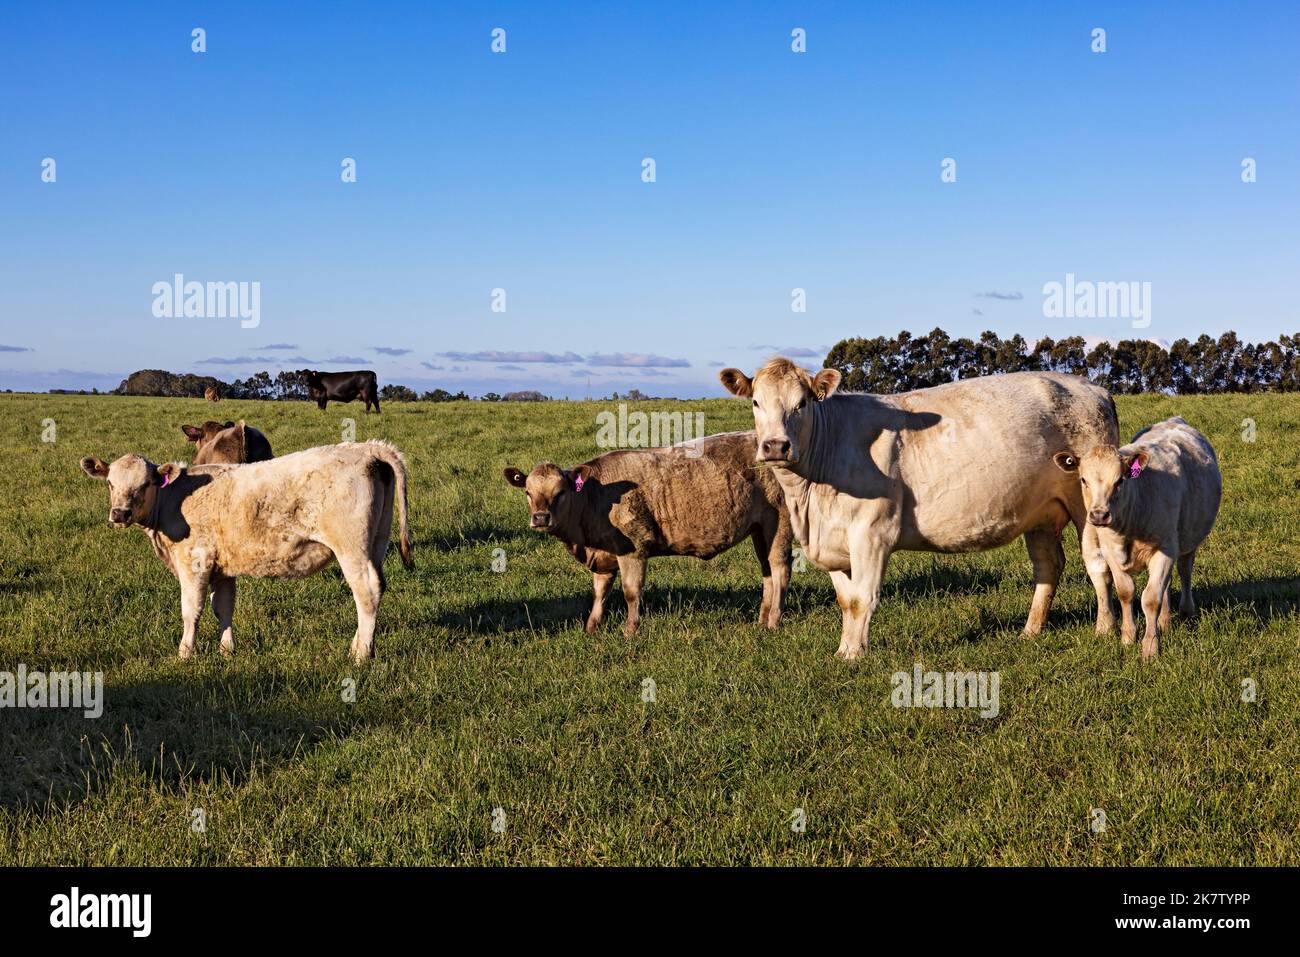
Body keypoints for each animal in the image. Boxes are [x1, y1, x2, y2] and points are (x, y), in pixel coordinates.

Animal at [79, 442, 410, 660]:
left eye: (146, 483)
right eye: (110, 483)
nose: (119, 513)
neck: (173, 500)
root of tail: (365, 448)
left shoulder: (194, 562)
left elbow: (191, 610)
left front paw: (185, 653)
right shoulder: (222, 567)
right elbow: (223, 607)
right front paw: (227, 650)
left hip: (351, 548)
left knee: (366, 592)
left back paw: (362, 655)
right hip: (377, 543)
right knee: (376, 588)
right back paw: (358, 645)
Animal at [717, 356, 1123, 660]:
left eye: (801, 403)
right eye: (755, 402)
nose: (775, 446)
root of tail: (1094, 388)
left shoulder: (871, 532)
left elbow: (862, 599)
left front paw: (854, 655)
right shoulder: (831, 539)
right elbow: (846, 600)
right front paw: (844, 650)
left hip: (1088, 507)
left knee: (1098, 564)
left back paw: (1105, 628)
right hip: (1040, 511)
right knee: (1048, 566)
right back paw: (1031, 630)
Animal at [1050, 416, 1222, 660]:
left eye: (1120, 480)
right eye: (1083, 480)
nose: (1099, 515)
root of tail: (1174, 419)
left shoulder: (1165, 549)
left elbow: (1150, 599)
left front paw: (1150, 647)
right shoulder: (1111, 552)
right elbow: (1126, 593)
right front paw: (1128, 637)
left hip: (1188, 539)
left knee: (1184, 571)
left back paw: (1186, 611)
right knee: (1166, 584)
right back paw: (1164, 622)